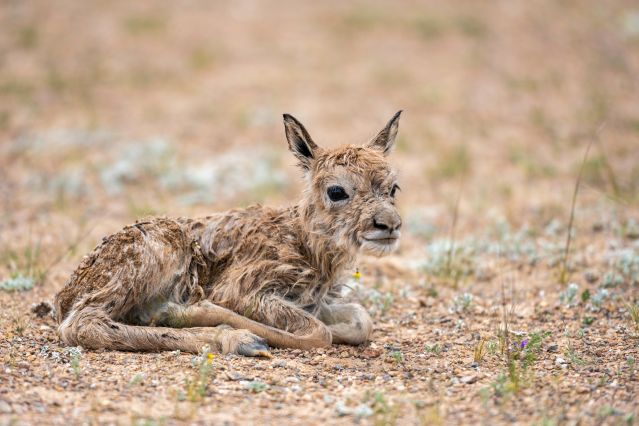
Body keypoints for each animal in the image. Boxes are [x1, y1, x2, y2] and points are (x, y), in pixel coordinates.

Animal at [56, 112, 404, 356]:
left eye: (393, 188)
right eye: (336, 191)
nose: (389, 225)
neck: (303, 244)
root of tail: (65, 294)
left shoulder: (312, 300)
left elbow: (361, 320)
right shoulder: (243, 290)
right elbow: (319, 334)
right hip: (156, 255)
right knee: (83, 325)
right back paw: (230, 336)